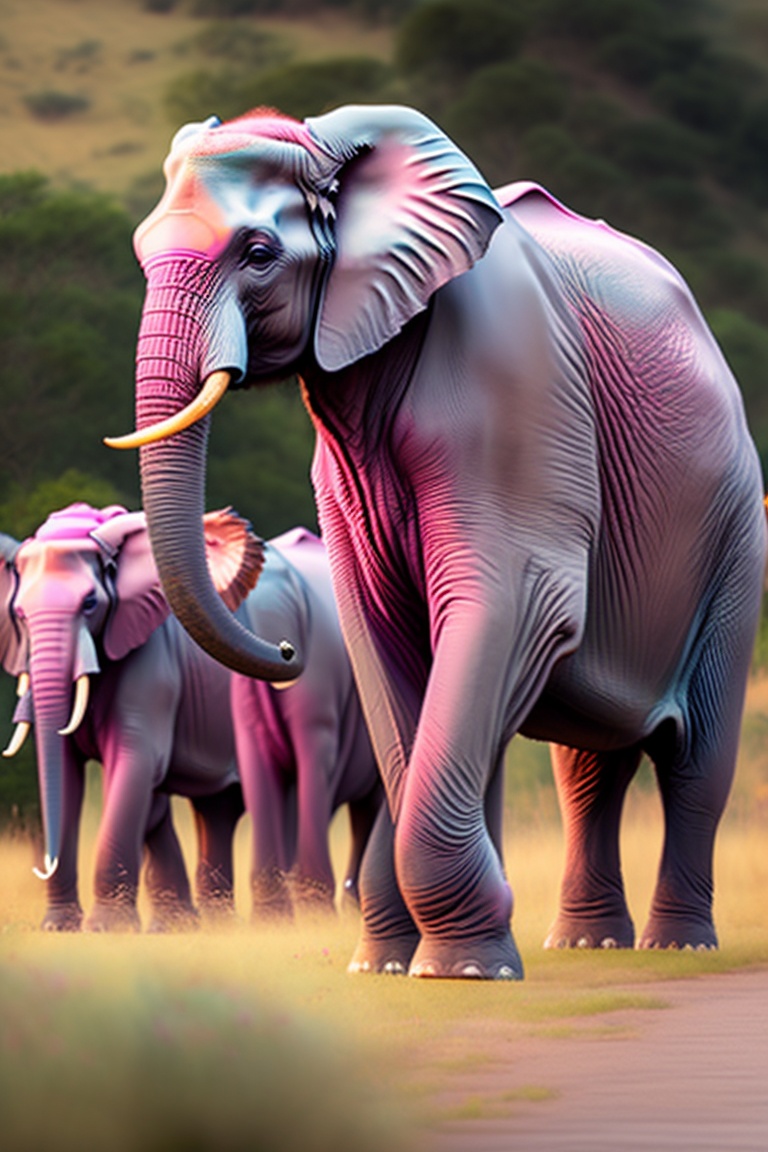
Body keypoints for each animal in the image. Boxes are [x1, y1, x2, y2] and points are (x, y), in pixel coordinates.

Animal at [0, 503, 380, 930]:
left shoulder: (154, 662)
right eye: (19, 614)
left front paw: (108, 929)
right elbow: (77, 773)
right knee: (221, 807)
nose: (285, 649)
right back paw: (226, 922)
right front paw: (65, 927)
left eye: (90, 604)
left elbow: (137, 760)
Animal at [106, 104, 767, 978]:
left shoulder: (516, 381)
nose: (284, 652)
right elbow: (383, 635)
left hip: (736, 524)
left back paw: (677, 943)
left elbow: (511, 603)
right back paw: (586, 941)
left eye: (258, 254)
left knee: (694, 763)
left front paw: (464, 968)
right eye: (143, 249)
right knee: (590, 765)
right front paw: (387, 963)